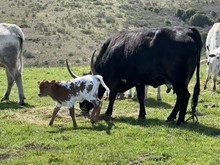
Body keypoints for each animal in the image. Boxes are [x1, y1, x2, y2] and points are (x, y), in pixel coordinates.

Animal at [67, 26, 203, 125]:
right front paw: (142, 115)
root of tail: (189, 30)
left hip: (178, 80)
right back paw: (171, 117)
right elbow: (141, 97)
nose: (82, 106)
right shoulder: (139, 81)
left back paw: (179, 120)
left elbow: (112, 96)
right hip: (182, 81)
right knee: (180, 98)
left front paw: (108, 113)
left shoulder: (114, 80)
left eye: (88, 88)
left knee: (184, 96)